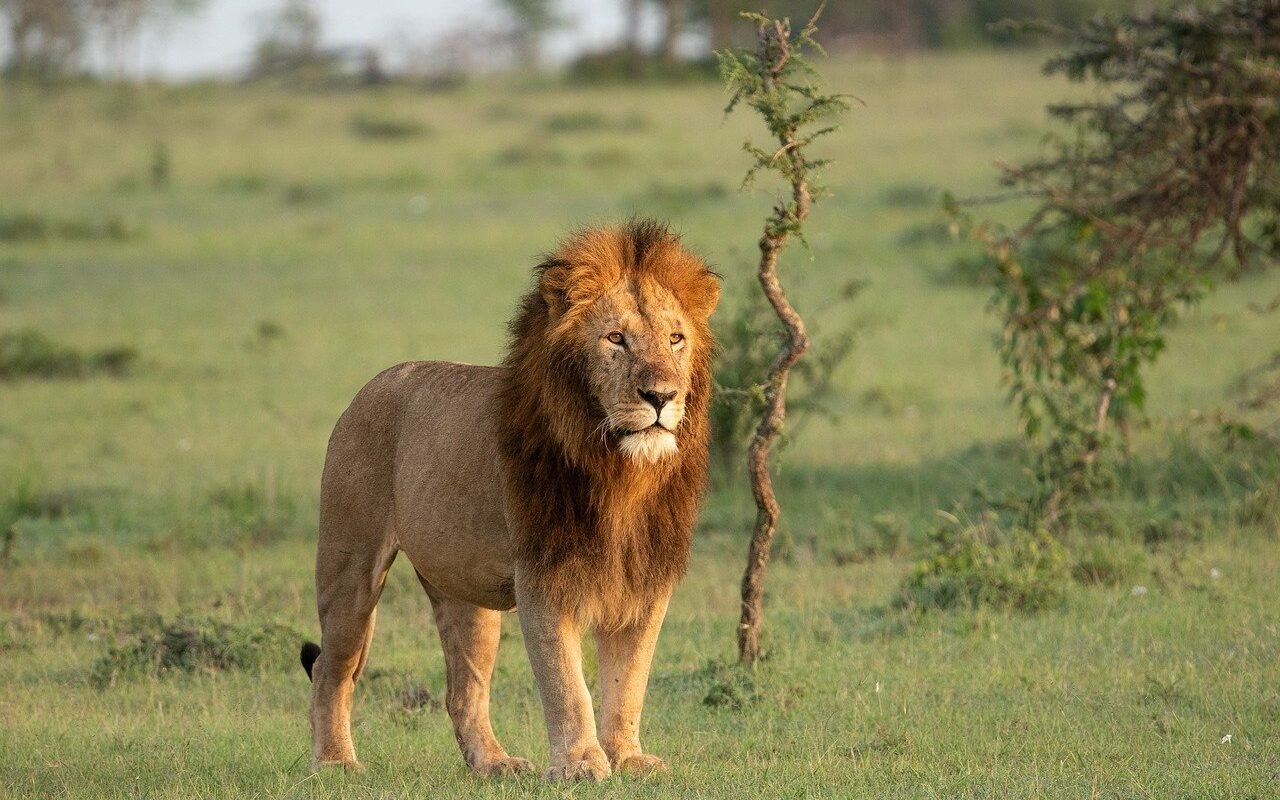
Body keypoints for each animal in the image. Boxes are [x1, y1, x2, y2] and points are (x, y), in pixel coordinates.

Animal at [296, 218, 721, 778]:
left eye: (675, 338)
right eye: (615, 339)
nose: (661, 396)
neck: (621, 473)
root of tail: (371, 386)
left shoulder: (645, 579)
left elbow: (629, 681)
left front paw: (627, 757)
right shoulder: (542, 573)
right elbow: (567, 683)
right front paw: (580, 765)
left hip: (464, 591)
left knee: (463, 691)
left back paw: (493, 764)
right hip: (351, 564)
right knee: (332, 666)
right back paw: (337, 762)